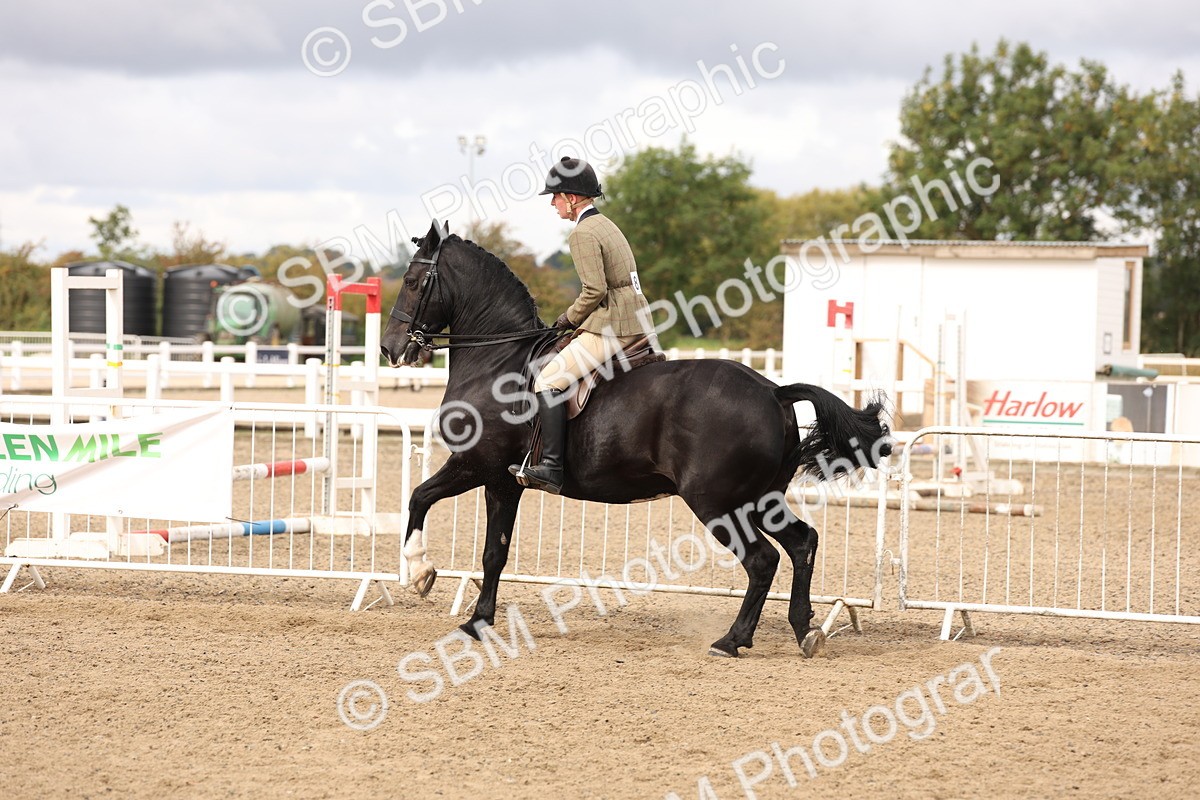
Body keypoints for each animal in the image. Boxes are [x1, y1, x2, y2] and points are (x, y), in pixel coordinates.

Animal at [380, 220, 891, 658]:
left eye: (412, 280)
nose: (389, 348)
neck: (499, 358)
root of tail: (773, 390)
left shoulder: (479, 466)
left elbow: (421, 498)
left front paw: (422, 573)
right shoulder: (502, 480)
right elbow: (494, 552)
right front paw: (477, 619)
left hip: (716, 501)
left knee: (762, 560)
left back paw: (732, 640)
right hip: (760, 498)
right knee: (802, 543)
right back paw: (804, 630)